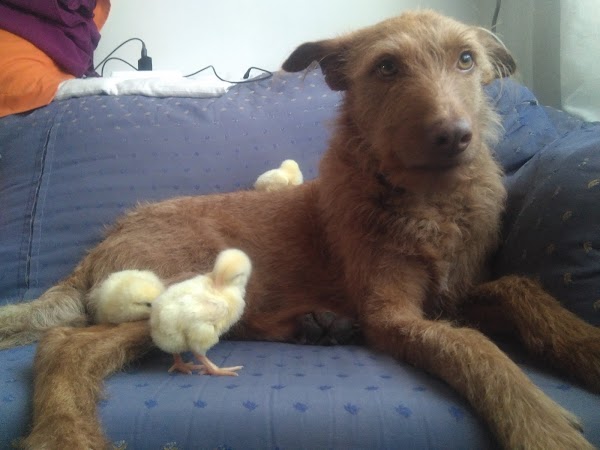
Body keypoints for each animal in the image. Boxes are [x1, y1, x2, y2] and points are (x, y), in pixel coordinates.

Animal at [1, 10, 599, 449]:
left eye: (467, 59)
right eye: (386, 67)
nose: (455, 135)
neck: (428, 203)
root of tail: (107, 238)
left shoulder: (454, 293)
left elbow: (517, 287)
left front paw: (586, 345)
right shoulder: (392, 314)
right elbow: (475, 348)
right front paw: (541, 424)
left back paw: (318, 326)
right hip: (169, 290)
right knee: (63, 346)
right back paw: (65, 434)